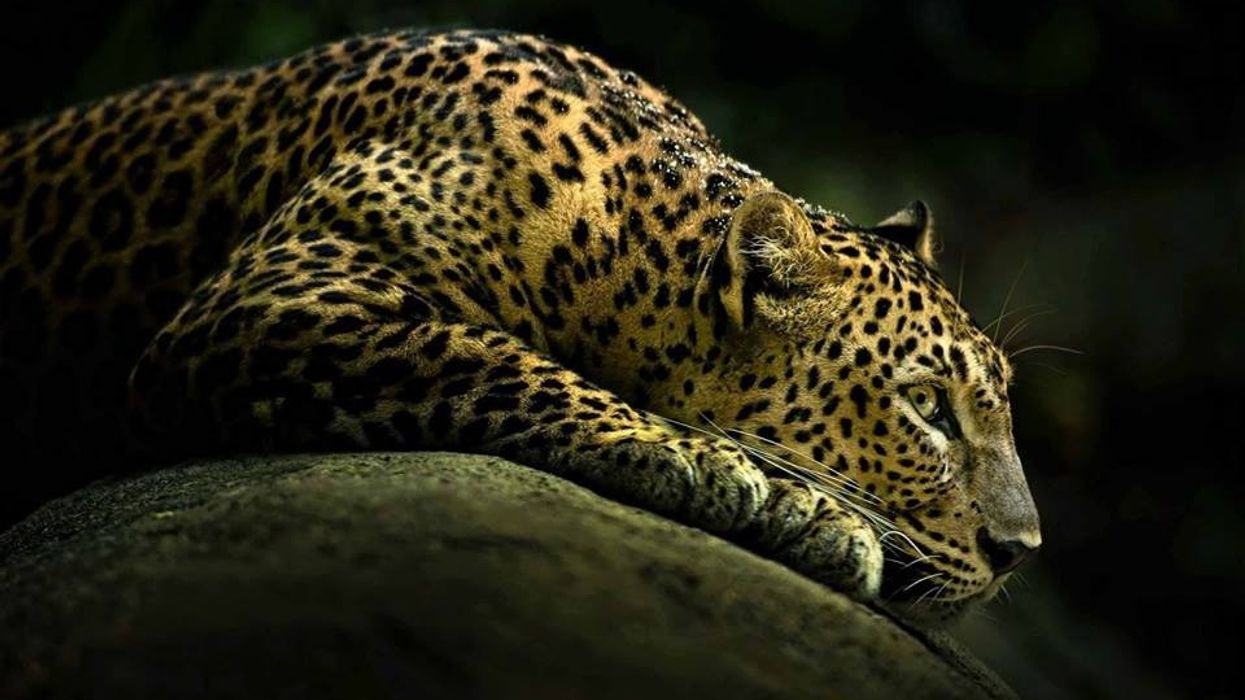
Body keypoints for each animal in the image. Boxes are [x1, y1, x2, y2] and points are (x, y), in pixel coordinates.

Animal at [0, 28, 1041, 625]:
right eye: (926, 408)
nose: (1020, 553)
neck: (616, 246)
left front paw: (800, 509)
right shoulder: (282, 291)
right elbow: (486, 352)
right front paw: (723, 471)